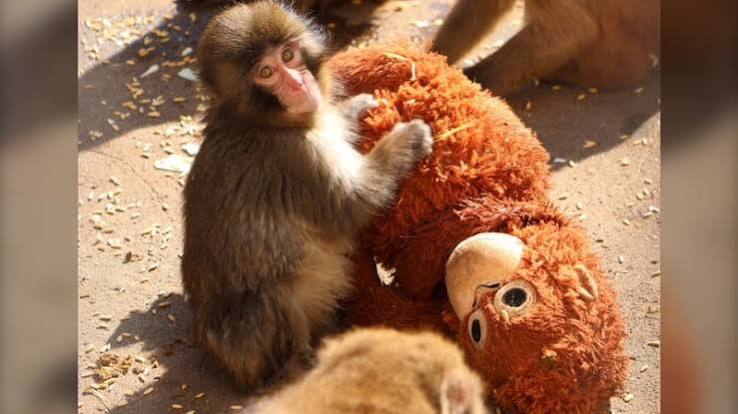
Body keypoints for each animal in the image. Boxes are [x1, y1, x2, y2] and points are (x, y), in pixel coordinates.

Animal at [181, 1, 434, 391]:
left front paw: (354, 108)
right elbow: (352, 204)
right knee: (270, 296)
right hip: (248, 347)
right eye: (266, 72)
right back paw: (300, 365)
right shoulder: (296, 157)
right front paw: (407, 139)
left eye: (289, 55)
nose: (299, 84)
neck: (263, 122)